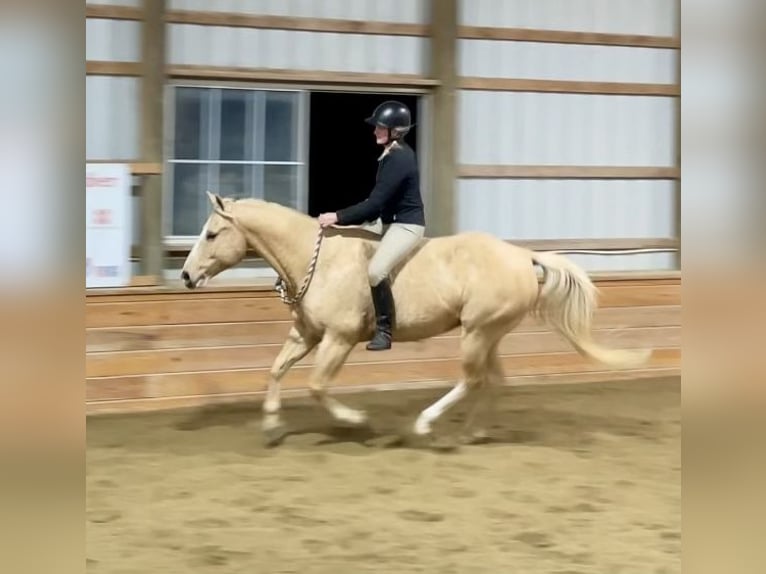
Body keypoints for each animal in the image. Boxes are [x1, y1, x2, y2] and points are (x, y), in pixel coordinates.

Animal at [181, 191, 652, 447]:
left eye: (211, 234)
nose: (186, 276)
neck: (317, 260)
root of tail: (523, 256)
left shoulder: (338, 339)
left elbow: (316, 386)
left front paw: (357, 421)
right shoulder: (307, 334)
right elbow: (276, 371)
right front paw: (272, 428)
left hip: (477, 331)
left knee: (472, 380)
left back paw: (427, 426)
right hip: (489, 333)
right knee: (492, 382)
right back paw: (472, 434)